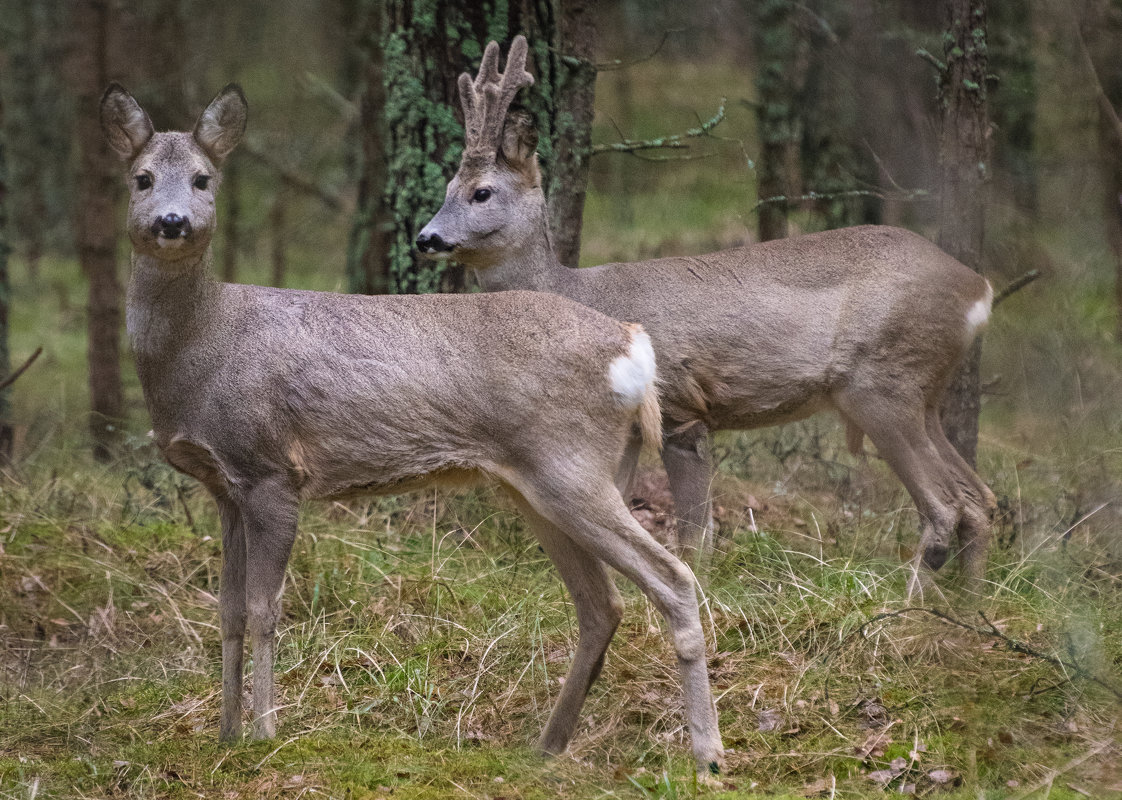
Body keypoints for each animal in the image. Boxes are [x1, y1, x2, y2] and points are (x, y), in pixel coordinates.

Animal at [105, 82, 727, 771]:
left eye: (203, 179)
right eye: (141, 178)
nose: (172, 222)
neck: (204, 347)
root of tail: (631, 343)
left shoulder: (273, 472)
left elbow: (266, 609)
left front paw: (265, 736)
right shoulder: (224, 488)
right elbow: (228, 612)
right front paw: (225, 735)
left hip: (571, 465)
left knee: (673, 578)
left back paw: (707, 753)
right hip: (540, 483)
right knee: (602, 601)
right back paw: (546, 746)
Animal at [417, 34, 996, 587]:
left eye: (481, 192)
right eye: (446, 188)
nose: (426, 237)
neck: (580, 293)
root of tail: (980, 288)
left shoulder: (681, 407)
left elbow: (697, 533)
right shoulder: (629, 429)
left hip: (881, 382)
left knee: (947, 505)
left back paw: (915, 605)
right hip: (922, 393)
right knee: (980, 499)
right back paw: (970, 607)